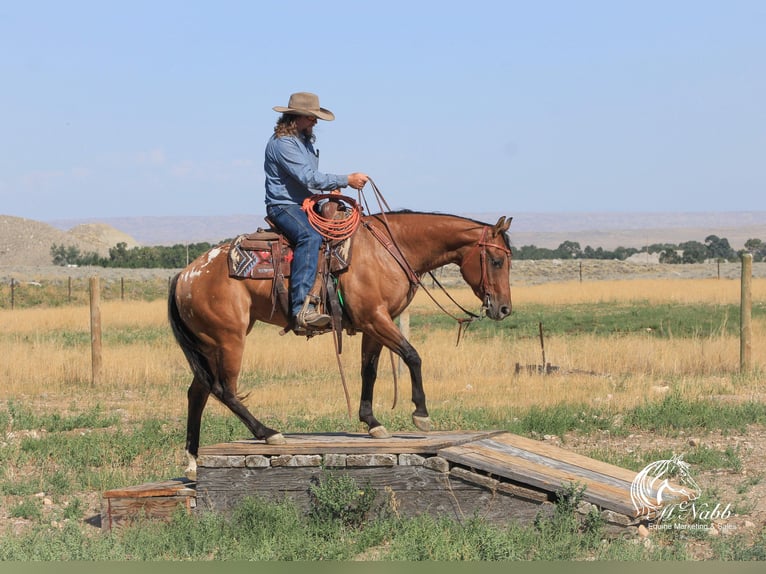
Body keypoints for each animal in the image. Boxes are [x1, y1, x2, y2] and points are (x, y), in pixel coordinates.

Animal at [170, 212, 512, 482]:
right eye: (496, 261)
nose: (504, 309)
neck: (389, 250)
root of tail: (186, 274)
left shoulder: (374, 325)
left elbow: (369, 371)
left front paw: (372, 422)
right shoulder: (376, 319)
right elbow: (412, 356)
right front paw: (421, 413)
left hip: (209, 343)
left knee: (197, 393)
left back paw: (192, 462)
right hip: (229, 339)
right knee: (225, 389)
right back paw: (268, 433)